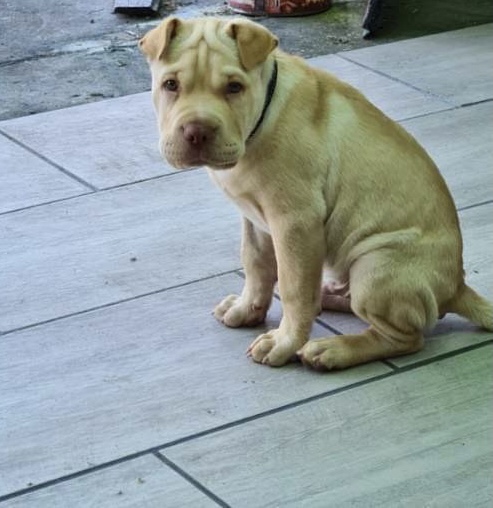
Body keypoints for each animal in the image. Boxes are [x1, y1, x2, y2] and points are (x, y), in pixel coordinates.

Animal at [140, 17, 493, 370]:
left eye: (234, 88)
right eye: (170, 85)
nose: (196, 132)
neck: (261, 120)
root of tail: (457, 287)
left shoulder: (296, 224)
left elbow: (294, 288)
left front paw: (283, 342)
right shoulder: (254, 220)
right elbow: (255, 264)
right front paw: (247, 308)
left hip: (376, 267)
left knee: (405, 337)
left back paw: (332, 349)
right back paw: (324, 298)